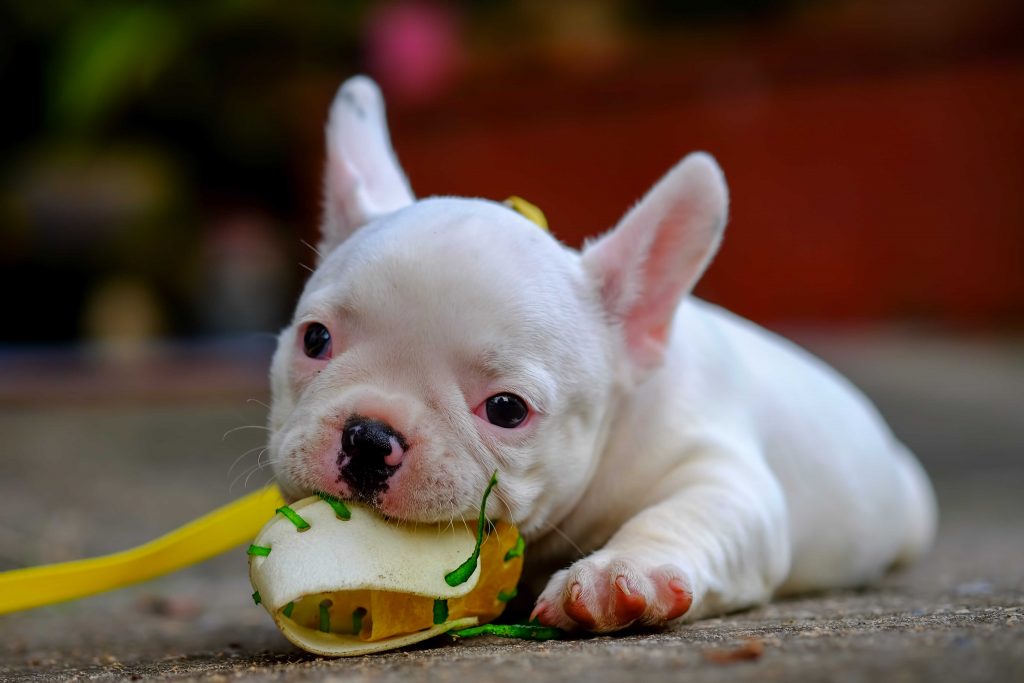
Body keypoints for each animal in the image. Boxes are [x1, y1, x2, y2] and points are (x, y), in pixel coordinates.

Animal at [268, 77, 937, 634]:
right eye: (315, 340)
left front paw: (623, 574)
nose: (369, 437)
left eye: (507, 409)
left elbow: (683, 515)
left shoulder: (720, 474)